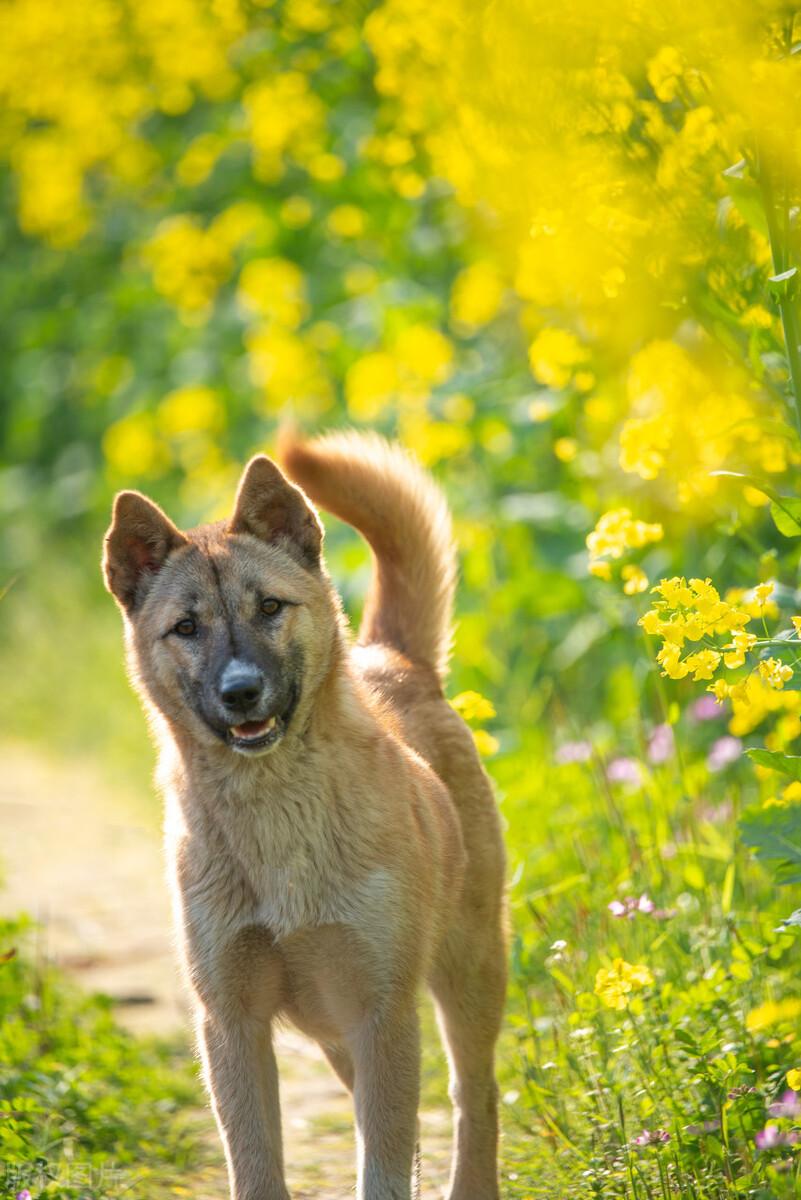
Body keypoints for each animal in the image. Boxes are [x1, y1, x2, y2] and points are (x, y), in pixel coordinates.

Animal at [101, 432, 506, 1200]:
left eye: (269, 607)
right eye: (186, 627)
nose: (240, 692)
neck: (274, 815)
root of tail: (398, 659)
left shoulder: (382, 1011)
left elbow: (384, 1166)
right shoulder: (233, 1025)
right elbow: (258, 1166)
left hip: (464, 976)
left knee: (475, 1098)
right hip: (335, 1029)